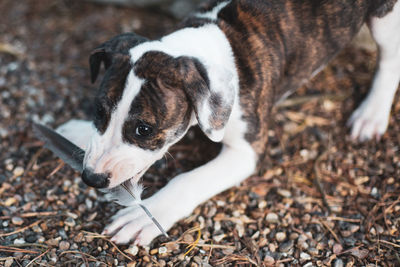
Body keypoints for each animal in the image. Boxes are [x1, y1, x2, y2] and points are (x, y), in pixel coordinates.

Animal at [57, 0, 400, 247]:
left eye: (144, 130)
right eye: (99, 112)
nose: (92, 178)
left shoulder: (245, 152)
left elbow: (188, 179)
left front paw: (148, 215)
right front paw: (78, 131)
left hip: (385, 16)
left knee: (389, 58)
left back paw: (372, 113)